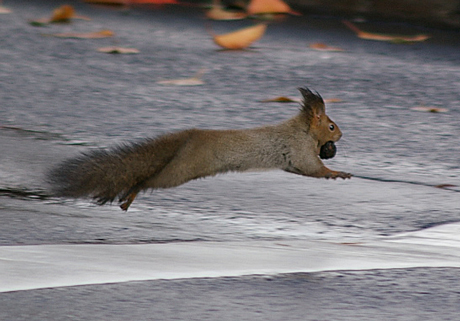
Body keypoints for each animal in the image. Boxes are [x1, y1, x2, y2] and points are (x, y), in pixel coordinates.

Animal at [47, 86, 352, 210]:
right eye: (331, 126)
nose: (341, 135)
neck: (303, 130)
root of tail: (188, 138)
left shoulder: (291, 160)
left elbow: (303, 170)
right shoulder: (298, 148)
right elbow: (314, 168)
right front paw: (338, 173)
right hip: (181, 170)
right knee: (148, 180)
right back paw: (130, 196)